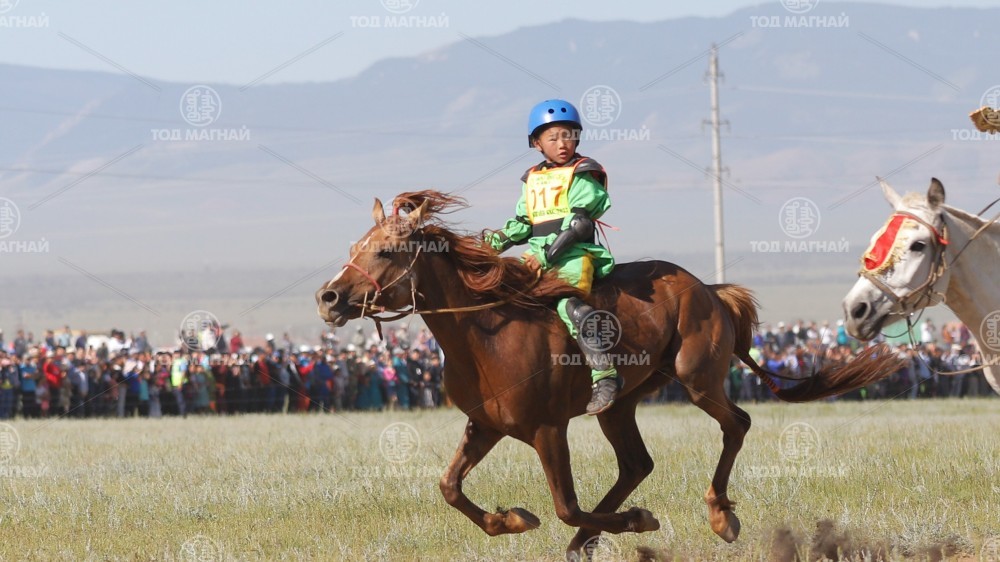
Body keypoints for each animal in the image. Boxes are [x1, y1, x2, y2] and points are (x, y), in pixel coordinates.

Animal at [316, 191, 904, 556]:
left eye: (386, 251)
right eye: (353, 248)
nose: (329, 298)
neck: (486, 332)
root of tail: (709, 290)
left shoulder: (547, 429)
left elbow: (565, 506)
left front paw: (637, 521)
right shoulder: (486, 425)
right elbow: (450, 488)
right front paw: (511, 520)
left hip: (696, 379)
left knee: (735, 424)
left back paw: (719, 515)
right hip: (620, 404)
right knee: (636, 463)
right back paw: (590, 542)